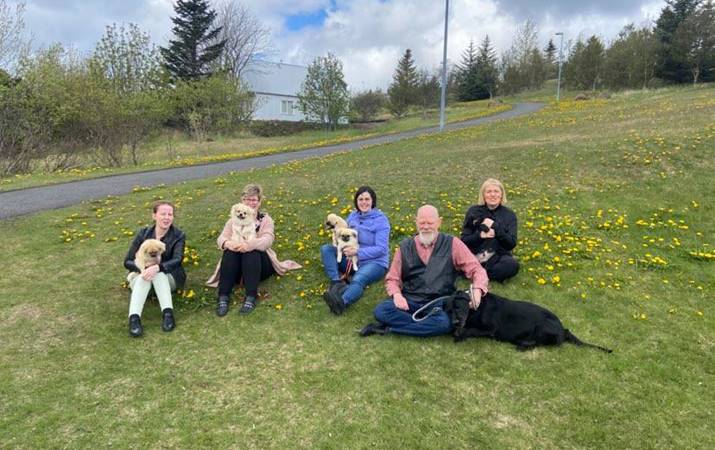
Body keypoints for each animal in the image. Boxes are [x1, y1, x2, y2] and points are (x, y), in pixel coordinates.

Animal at [454, 292, 608, 352]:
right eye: (451, 308)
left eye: (461, 307)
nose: (456, 321)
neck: (479, 306)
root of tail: (563, 330)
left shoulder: (492, 329)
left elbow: (472, 330)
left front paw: (460, 336)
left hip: (542, 326)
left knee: (541, 343)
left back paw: (523, 345)